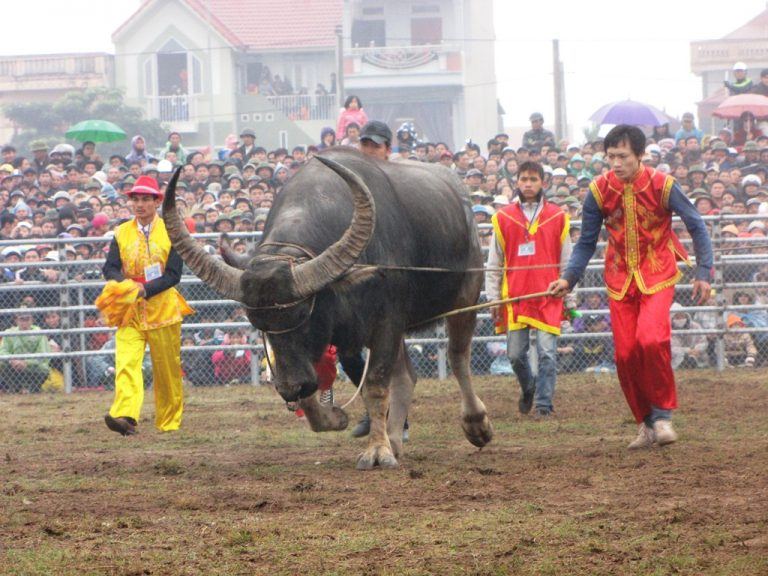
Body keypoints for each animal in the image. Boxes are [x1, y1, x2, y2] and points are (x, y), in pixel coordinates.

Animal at [165, 148, 496, 468]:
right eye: (259, 324)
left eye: (303, 315)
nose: (288, 388)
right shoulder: (338, 339)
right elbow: (320, 388)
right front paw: (336, 418)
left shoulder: (386, 321)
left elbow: (375, 385)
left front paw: (377, 451)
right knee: (406, 376)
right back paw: (394, 438)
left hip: (467, 295)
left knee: (457, 357)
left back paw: (476, 426)